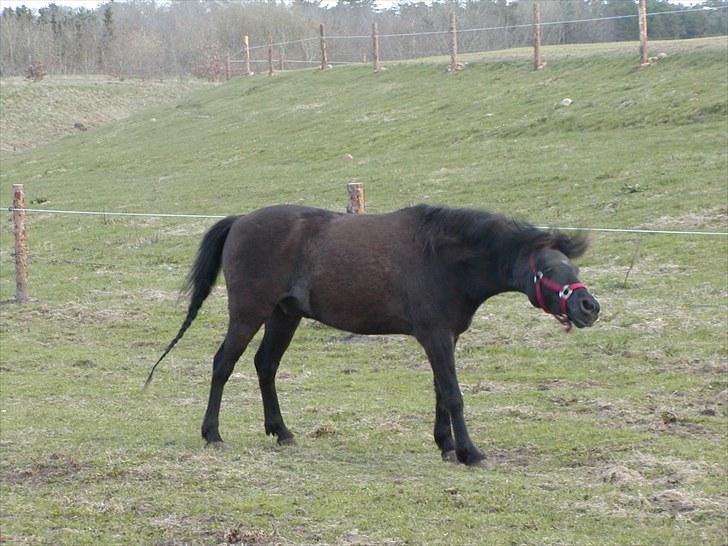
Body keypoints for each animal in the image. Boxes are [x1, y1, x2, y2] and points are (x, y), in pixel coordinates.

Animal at [148, 204, 596, 464]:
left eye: (572, 268)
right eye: (550, 270)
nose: (589, 307)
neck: (445, 258)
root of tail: (240, 221)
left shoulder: (445, 338)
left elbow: (440, 391)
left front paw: (446, 445)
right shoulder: (435, 336)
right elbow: (453, 394)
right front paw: (469, 452)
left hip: (283, 316)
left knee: (265, 366)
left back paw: (282, 432)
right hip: (248, 313)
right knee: (223, 364)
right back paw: (212, 434)